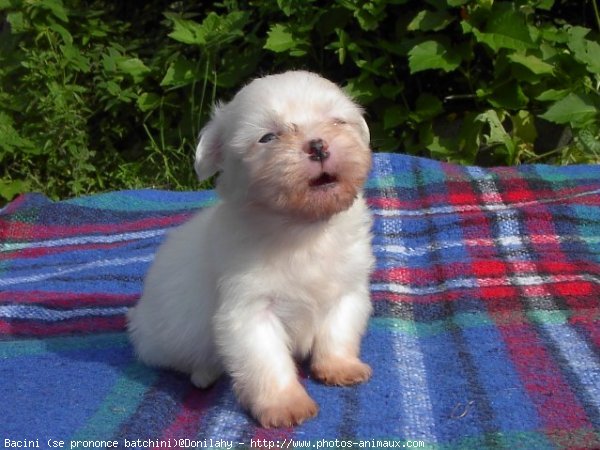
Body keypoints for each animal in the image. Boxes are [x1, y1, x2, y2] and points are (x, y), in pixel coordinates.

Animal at [127, 68, 376, 428]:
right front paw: (285, 404)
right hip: (162, 339)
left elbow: (338, 331)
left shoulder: (347, 290)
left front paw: (340, 367)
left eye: (337, 121)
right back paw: (204, 373)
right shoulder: (249, 310)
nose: (318, 145)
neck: (303, 231)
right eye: (268, 137)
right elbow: (267, 360)